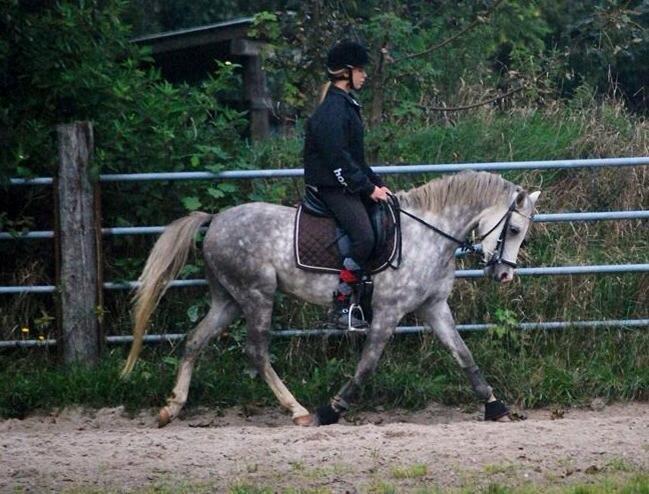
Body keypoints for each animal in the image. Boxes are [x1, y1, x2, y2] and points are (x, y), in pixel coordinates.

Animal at [120, 170, 536, 424]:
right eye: (514, 229)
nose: (504, 274)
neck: (429, 233)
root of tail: (216, 219)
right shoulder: (388, 312)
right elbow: (367, 365)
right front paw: (333, 408)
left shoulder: (434, 308)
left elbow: (464, 355)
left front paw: (495, 406)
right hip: (256, 296)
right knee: (257, 351)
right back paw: (298, 410)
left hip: (229, 300)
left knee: (195, 340)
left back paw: (172, 408)